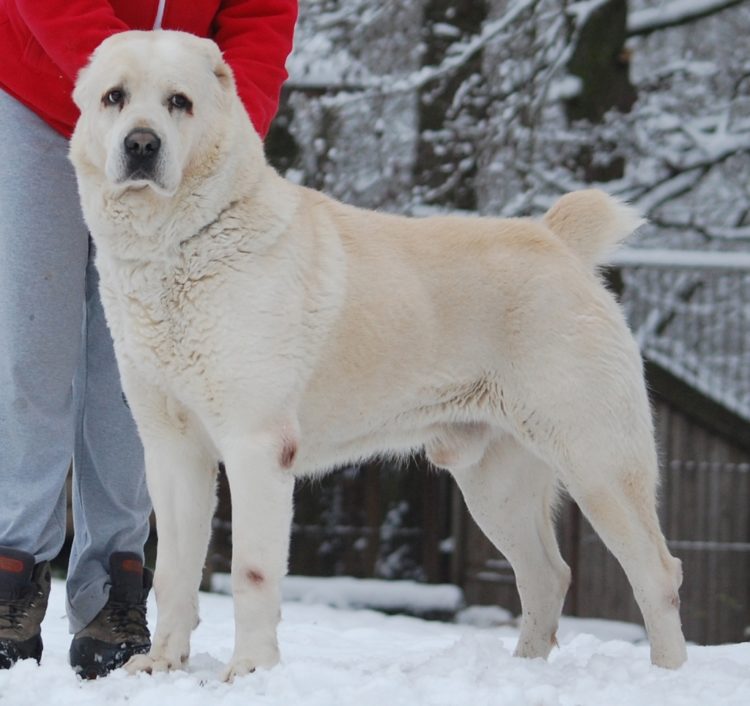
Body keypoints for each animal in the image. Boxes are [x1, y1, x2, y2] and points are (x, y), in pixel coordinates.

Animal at [69, 30, 688, 680]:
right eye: (115, 97)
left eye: (179, 102)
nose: (142, 144)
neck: (179, 245)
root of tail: (557, 241)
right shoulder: (172, 448)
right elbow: (174, 570)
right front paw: (161, 665)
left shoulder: (255, 444)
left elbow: (251, 572)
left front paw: (252, 672)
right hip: (495, 483)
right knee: (547, 576)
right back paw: (522, 673)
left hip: (598, 463)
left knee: (656, 575)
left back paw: (667, 676)